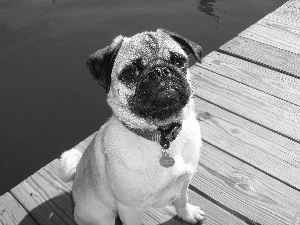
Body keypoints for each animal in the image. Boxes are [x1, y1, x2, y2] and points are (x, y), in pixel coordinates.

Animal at [59, 29, 205, 224]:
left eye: (178, 61)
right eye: (130, 73)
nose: (161, 70)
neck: (161, 137)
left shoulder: (184, 182)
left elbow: (182, 200)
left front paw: (188, 215)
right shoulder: (129, 208)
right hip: (102, 216)